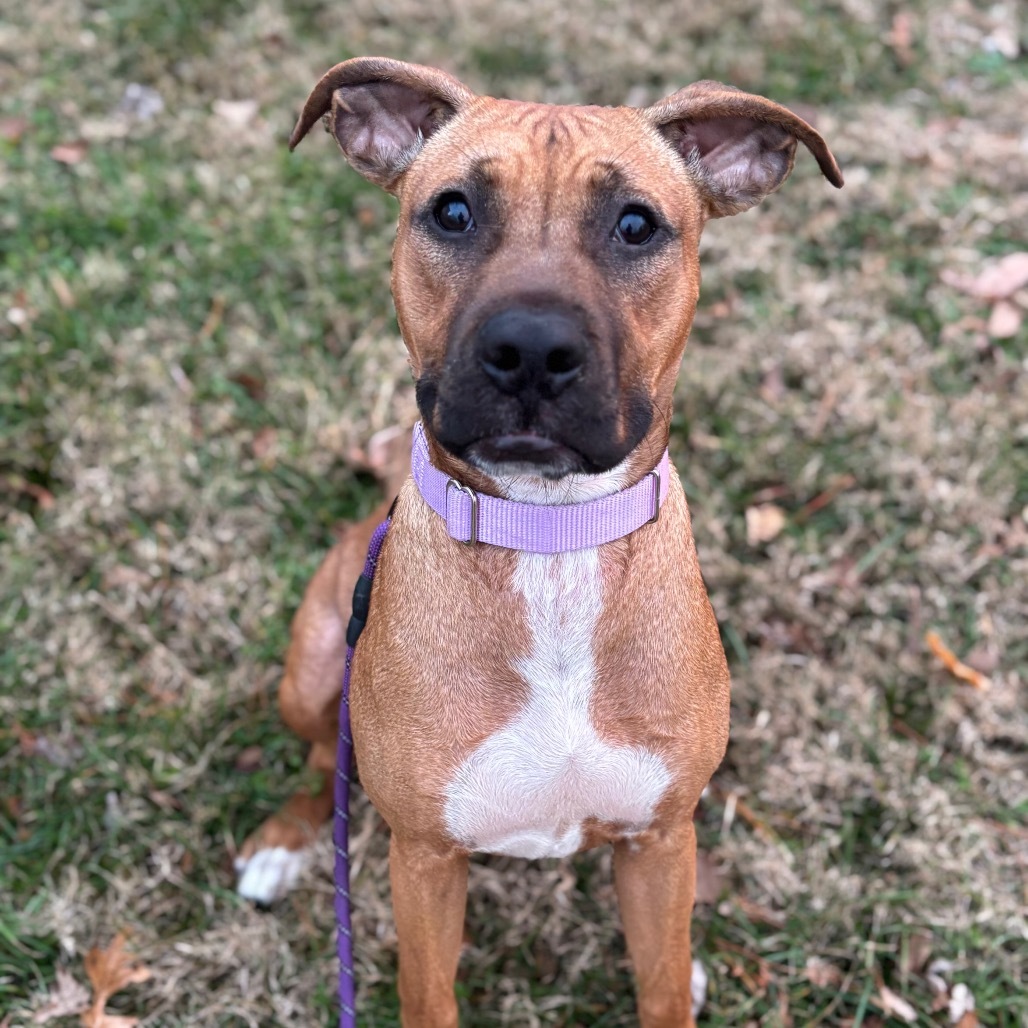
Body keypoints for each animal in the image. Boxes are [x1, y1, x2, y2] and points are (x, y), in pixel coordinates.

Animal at [235, 60, 842, 1023]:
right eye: (452, 211)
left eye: (636, 224)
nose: (529, 347)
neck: (549, 537)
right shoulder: (425, 859)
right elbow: (428, 995)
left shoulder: (661, 836)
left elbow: (661, 981)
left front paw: (680, 974)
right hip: (313, 665)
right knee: (319, 756)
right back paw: (286, 842)